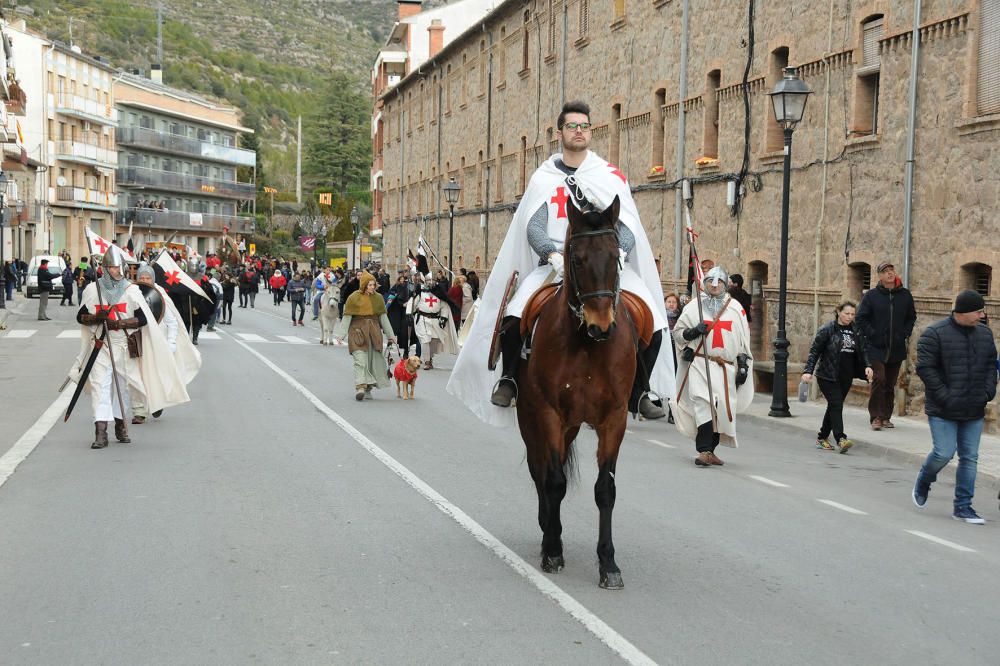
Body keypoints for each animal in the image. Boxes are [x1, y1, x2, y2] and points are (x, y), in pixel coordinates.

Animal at [516, 195, 632, 588]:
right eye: (576, 258)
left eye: (615, 256)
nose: (601, 326)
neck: (586, 346)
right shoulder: (549, 412)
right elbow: (553, 481)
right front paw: (553, 548)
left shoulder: (615, 419)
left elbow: (606, 490)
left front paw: (609, 563)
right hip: (533, 419)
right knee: (540, 470)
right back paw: (547, 529)